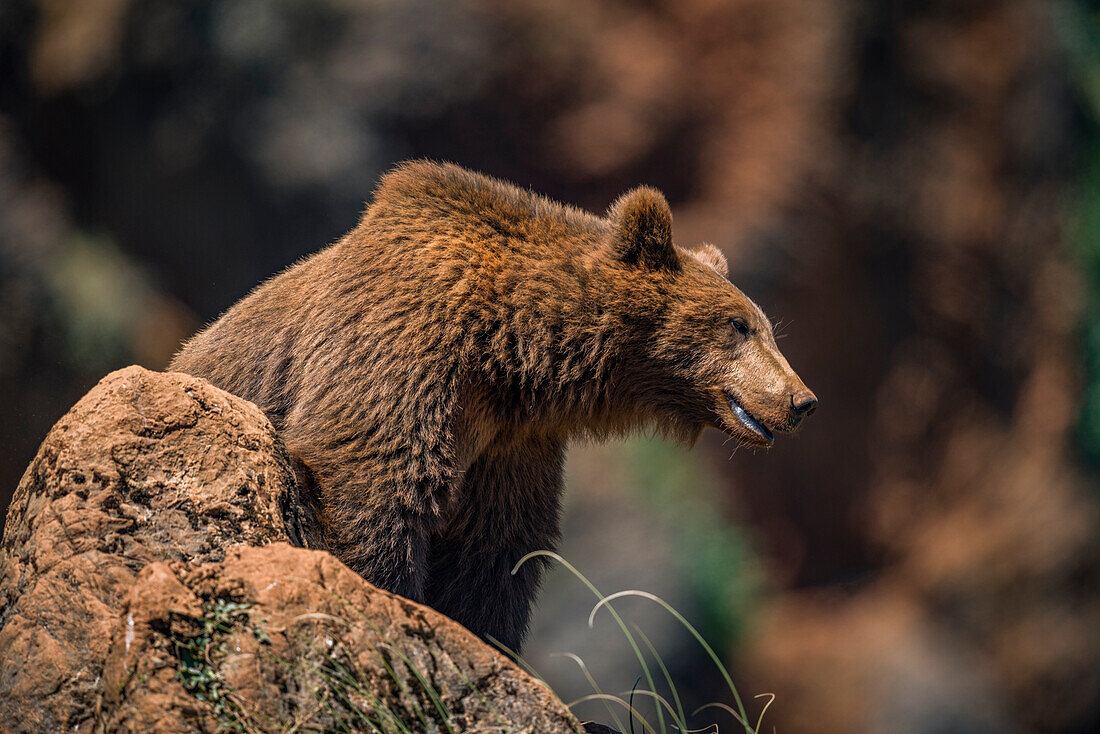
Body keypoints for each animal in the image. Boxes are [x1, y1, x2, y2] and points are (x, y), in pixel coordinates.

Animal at [167, 159, 814, 647]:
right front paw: (388, 595)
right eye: (738, 325)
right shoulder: (402, 348)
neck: (512, 348)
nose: (801, 400)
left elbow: (498, 545)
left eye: (767, 327)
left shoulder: (510, 441)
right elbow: (373, 475)